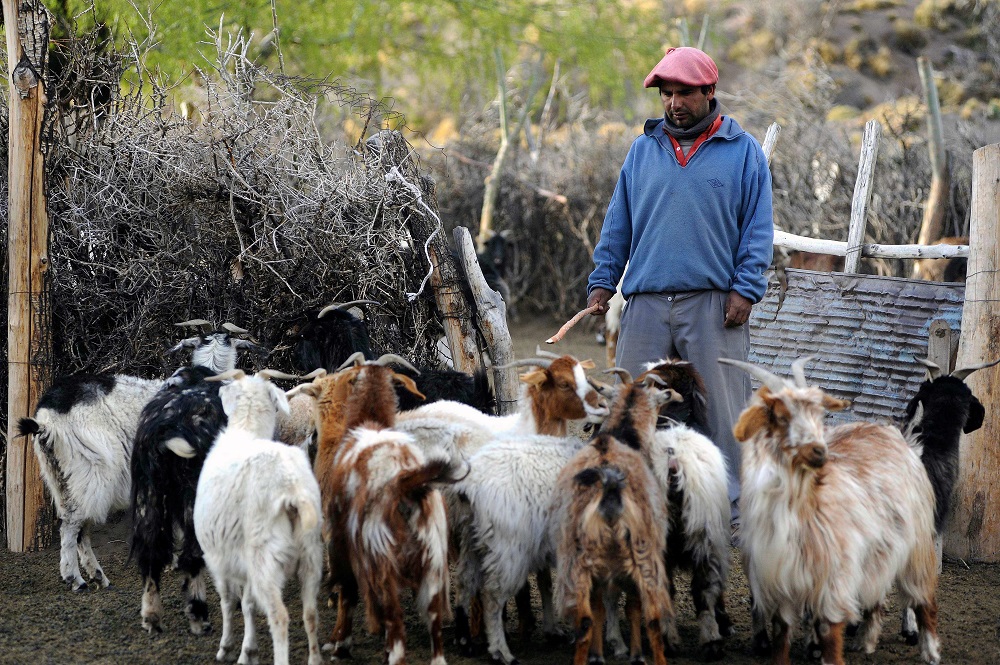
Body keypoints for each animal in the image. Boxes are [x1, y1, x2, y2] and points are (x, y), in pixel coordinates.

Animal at [16, 320, 252, 591]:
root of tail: (44, 421)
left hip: (58, 475)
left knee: (79, 527)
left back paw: (98, 576)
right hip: (89, 472)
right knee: (72, 525)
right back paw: (75, 579)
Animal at [194, 370, 324, 665]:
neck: (246, 430)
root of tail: (291, 489)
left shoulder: (218, 557)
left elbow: (229, 601)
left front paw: (227, 647)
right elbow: (248, 604)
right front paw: (248, 650)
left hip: (266, 558)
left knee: (279, 616)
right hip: (310, 554)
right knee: (311, 613)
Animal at [290, 352, 462, 665]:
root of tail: (407, 482)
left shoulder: (335, 533)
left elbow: (346, 590)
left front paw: (337, 638)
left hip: (379, 552)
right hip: (432, 552)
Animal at [551, 434, 673, 665]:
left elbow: (600, 610)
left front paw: (599, 655)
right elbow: (630, 608)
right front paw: (635, 655)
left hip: (579, 565)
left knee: (584, 622)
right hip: (644, 560)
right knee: (653, 621)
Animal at [722, 357, 941, 665]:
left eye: (820, 414)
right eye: (781, 417)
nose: (819, 451)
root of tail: (897, 436)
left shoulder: (834, 578)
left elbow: (829, 630)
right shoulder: (778, 580)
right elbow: (781, 633)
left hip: (917, 543)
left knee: (924, 598)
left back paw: (930, 650)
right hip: (879, 549)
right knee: (877, 590)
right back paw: (866, 640)